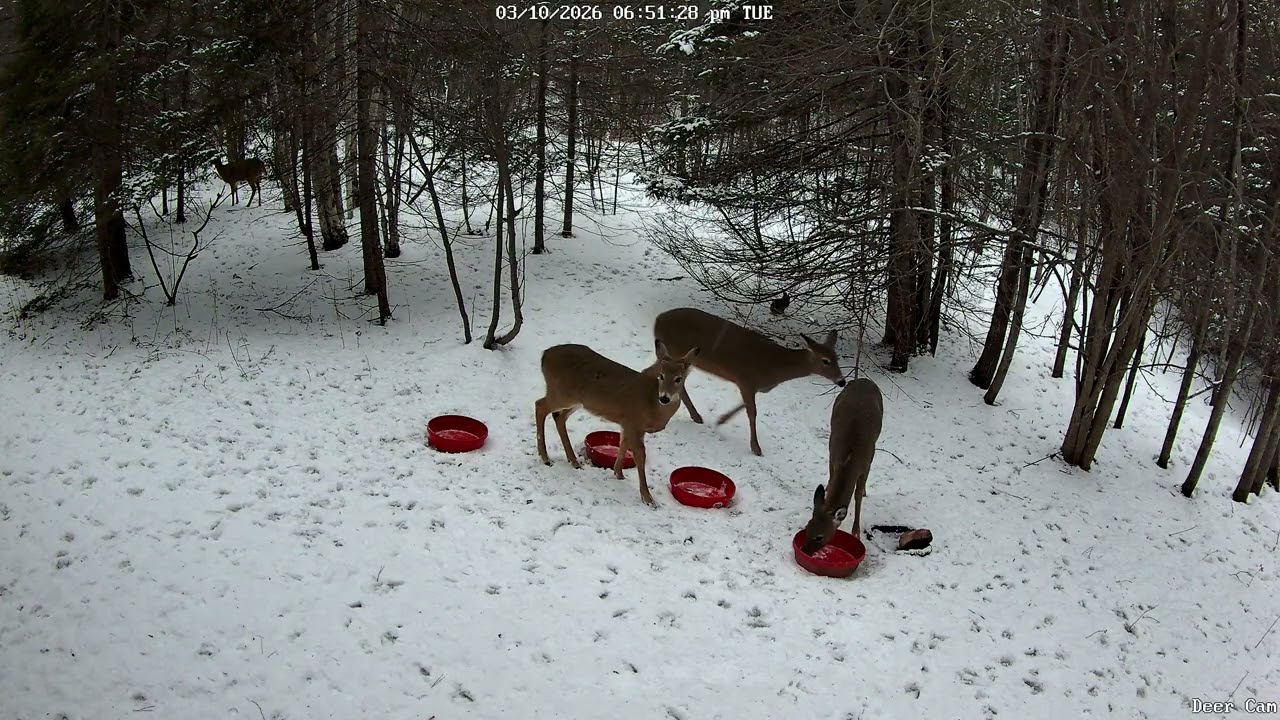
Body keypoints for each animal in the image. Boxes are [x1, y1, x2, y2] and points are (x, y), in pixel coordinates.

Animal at [535, 341, 700, 506]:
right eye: (661, 376)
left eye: (679, 378)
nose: (664, 398)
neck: (652, 403)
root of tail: (544, 355)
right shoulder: (634, 423)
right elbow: (640, 455)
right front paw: (648, 498)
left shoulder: (627, 424)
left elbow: (623, 445)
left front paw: (618, 474)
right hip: (561, 393)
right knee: (540, 405)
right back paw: (545, 457)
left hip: (576, 401)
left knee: (558, 416)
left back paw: (574, 461)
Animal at [652, 307, 846, 456]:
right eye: (825, 361)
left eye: (837, 358)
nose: (842, 381)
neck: (776, 367)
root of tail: (658, 319)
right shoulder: (746, 379)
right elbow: (752, 412)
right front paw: (756, 448)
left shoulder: (753, 386)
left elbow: (744, 406)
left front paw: (722, 419)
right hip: (675, 353)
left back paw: (696, 416)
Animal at [800, 377, 883, 554]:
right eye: (808, 526)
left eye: (820, 537)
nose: (804, 550)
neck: (850, 459)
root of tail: (864, 379)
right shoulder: (833, 454)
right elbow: (831, 479)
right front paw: (826, 490)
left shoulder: (866, 464)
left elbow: (857, 496)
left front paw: (856, 532)